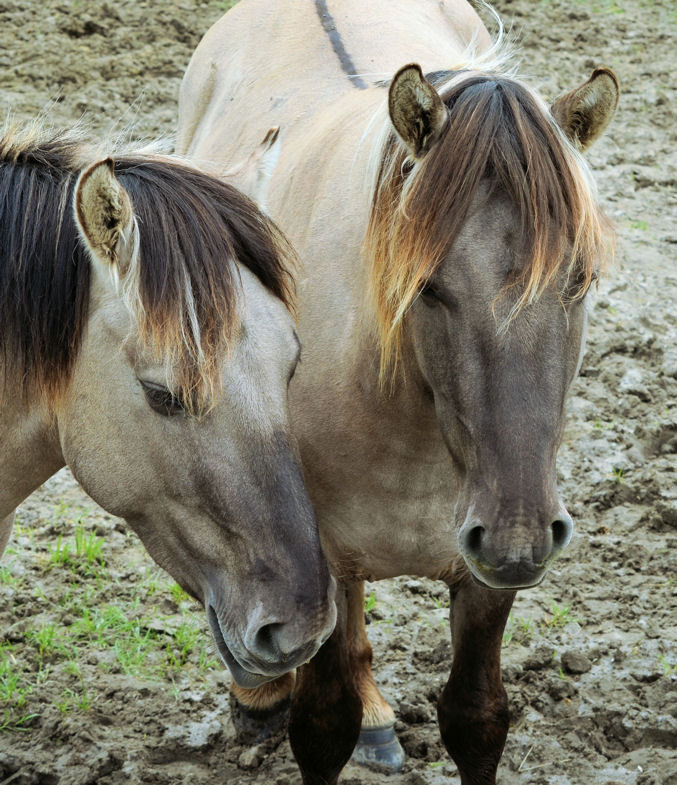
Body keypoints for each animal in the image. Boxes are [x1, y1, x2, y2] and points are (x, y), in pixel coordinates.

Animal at [178, 3, 616, 780]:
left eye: (580, 279)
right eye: (428, 286)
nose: (519, 534)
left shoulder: (485, 569)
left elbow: (475, 718)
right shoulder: (320, 559)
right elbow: (324, 720)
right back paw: (263, 699)